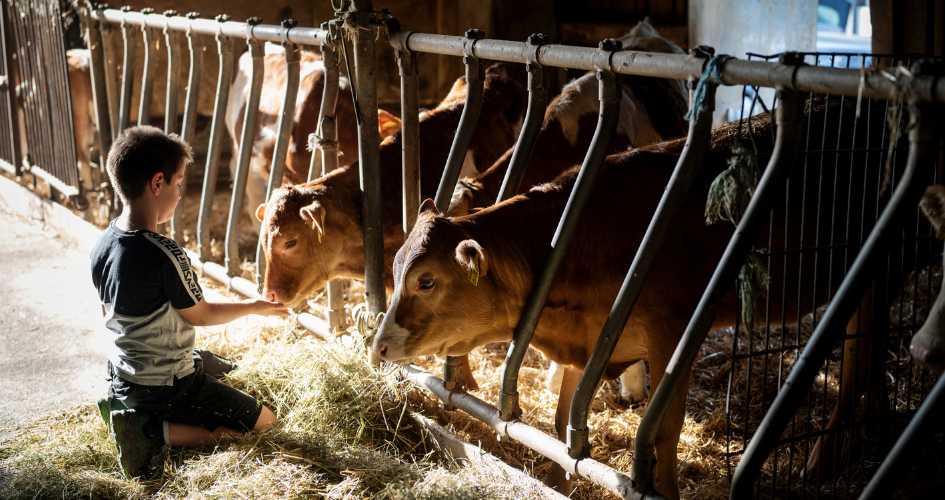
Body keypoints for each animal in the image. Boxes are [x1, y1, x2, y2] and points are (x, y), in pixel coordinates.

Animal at [372, 96, 896, 496]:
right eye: (396, 267)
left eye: (426, 281)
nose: (377, 345)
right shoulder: (588, 342)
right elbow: (563, 419)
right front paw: (562, 480)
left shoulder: (672, 333)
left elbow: (662, 431)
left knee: (858, 359)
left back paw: (822, 459)